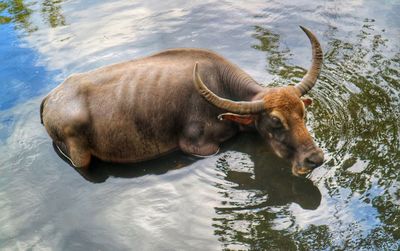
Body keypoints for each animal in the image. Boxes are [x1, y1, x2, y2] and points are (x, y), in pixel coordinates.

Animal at [40, 25, 324, 175]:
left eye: (303, 113)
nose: (315, 158)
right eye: (275, 121)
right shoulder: (199, 147)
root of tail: (49, 99)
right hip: (80, 155)